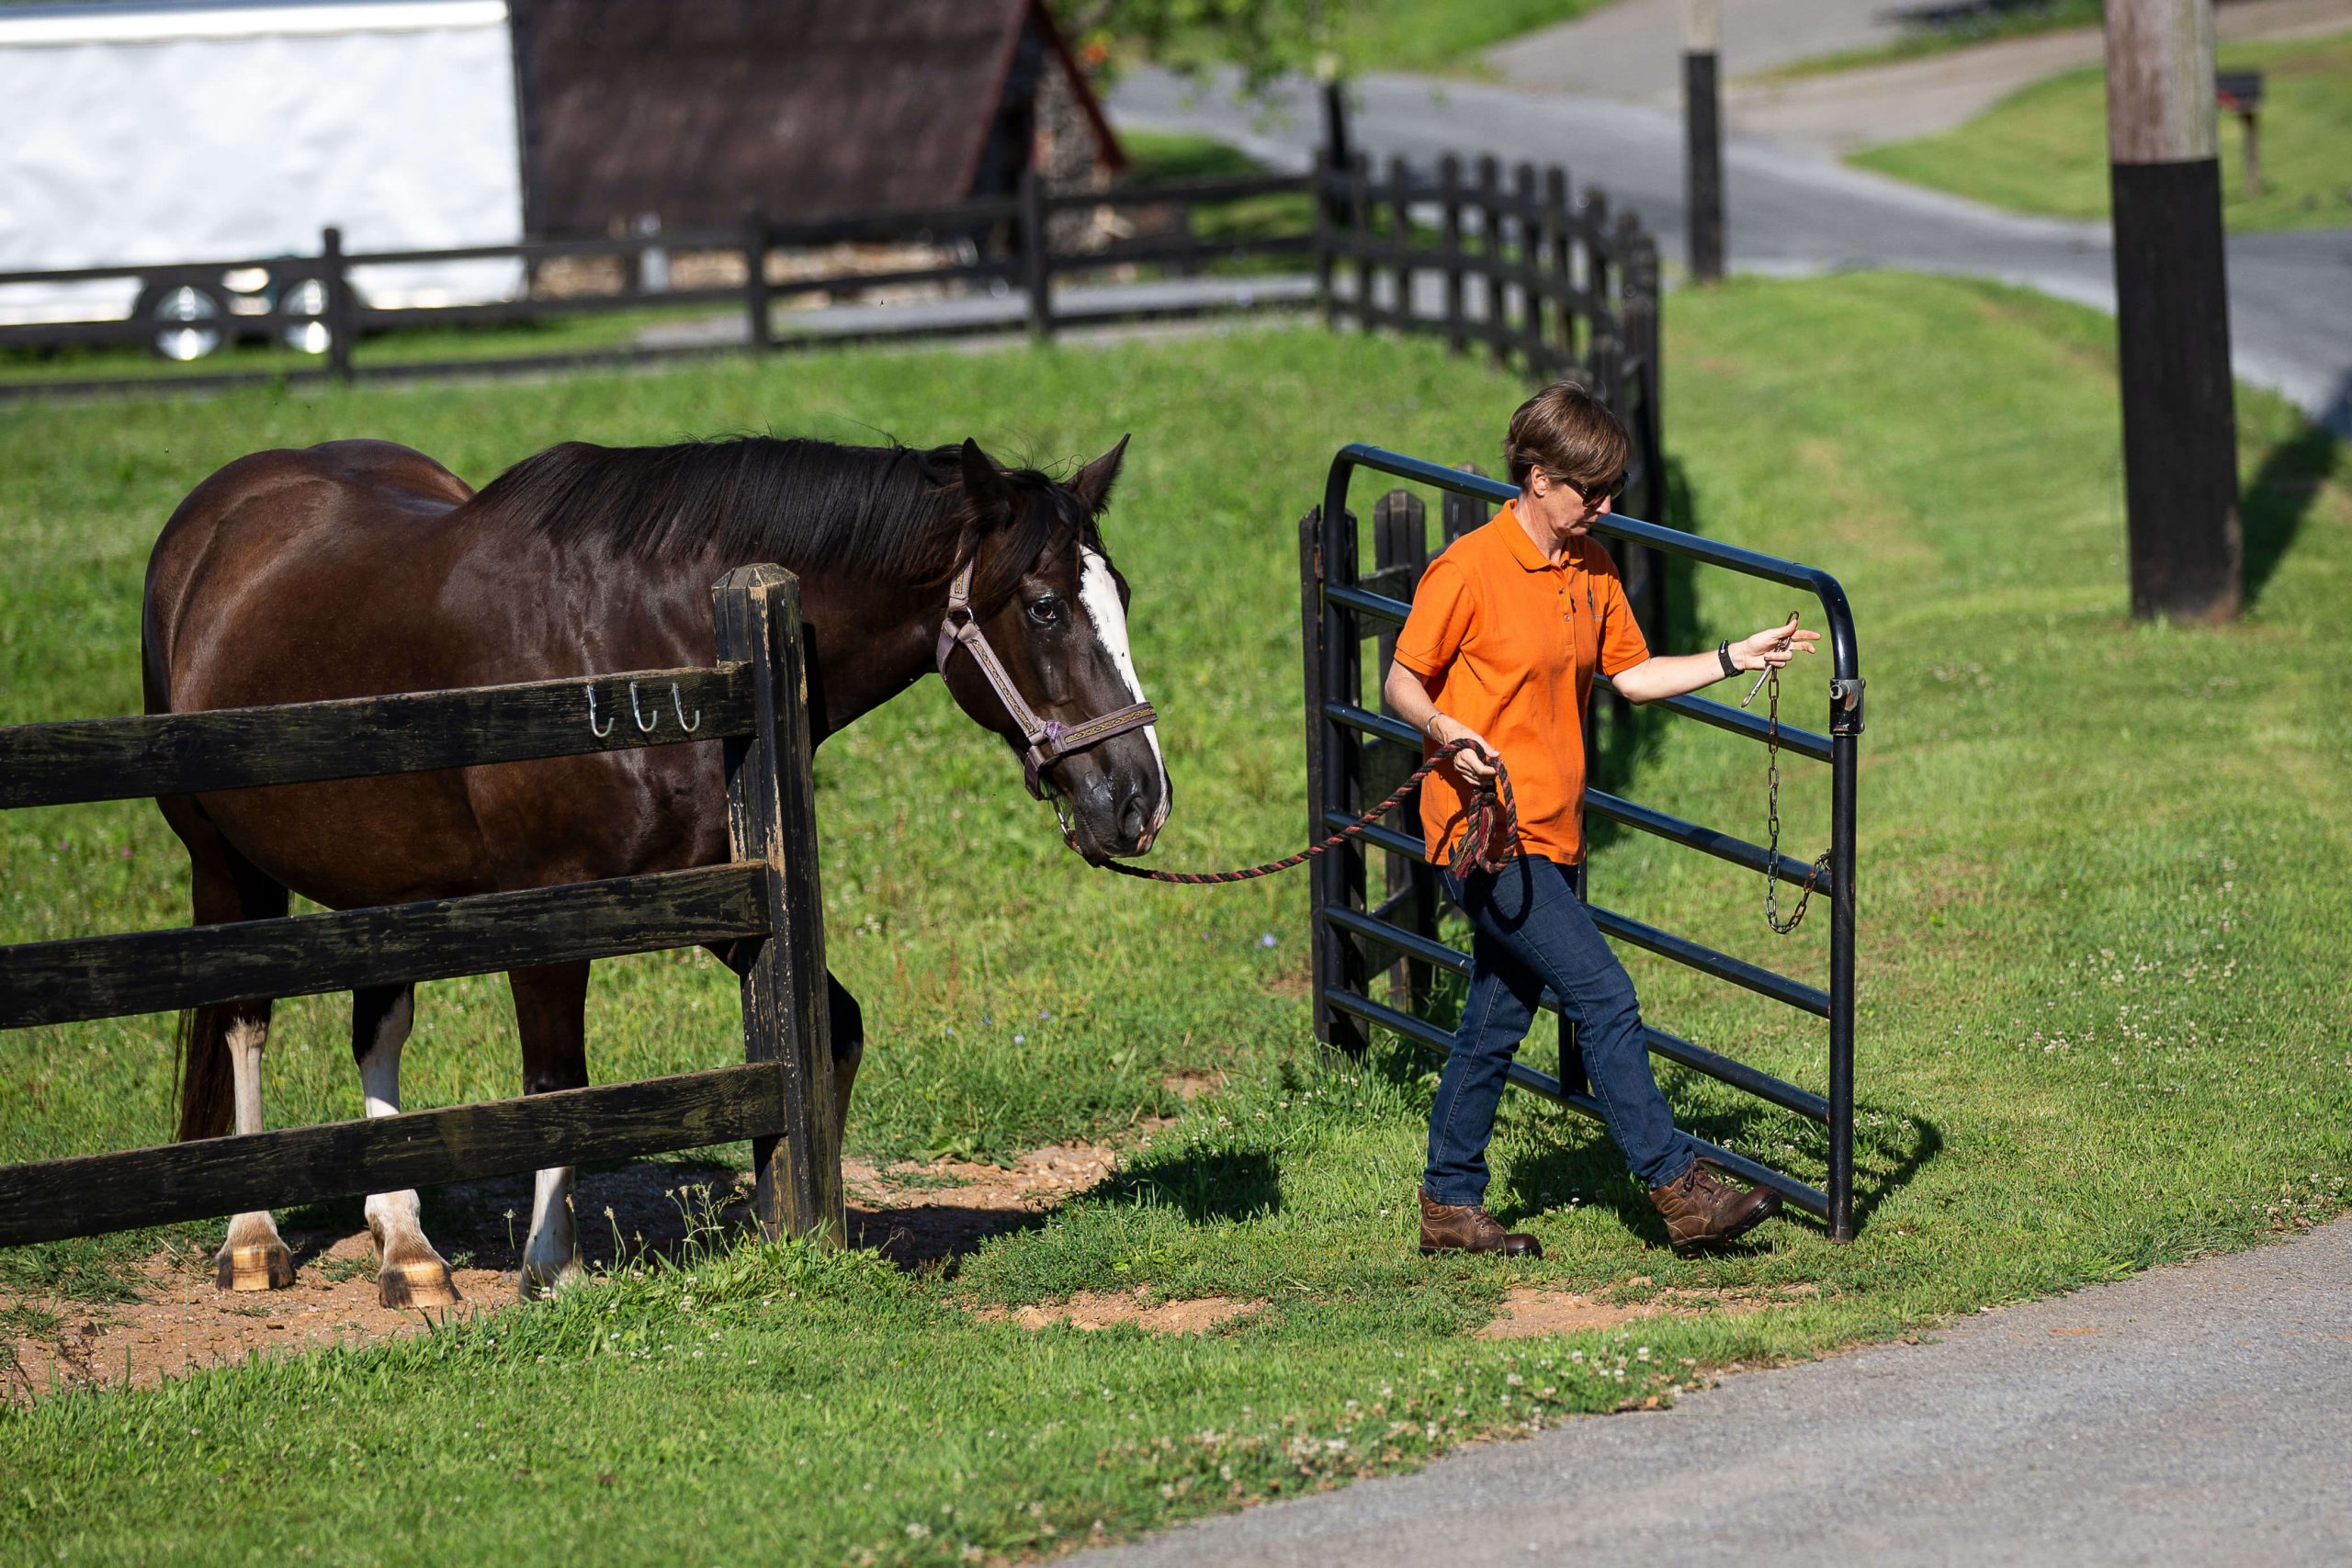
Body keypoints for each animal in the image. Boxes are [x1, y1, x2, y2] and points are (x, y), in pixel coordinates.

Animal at [140, 434, 1166, 1306]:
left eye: (1121, 592)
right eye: (1044, 605)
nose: (1138, 799)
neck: (649, 643)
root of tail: (218, 513)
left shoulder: (721, 899)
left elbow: (828, 1029)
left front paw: (801, 1227)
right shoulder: (552, 908)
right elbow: (559, 1083)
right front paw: (552, 1269)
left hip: (388, 882)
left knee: (376, 1027)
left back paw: (407, 1247)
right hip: (222, 861)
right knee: (241, 1019)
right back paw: (251, 1237)